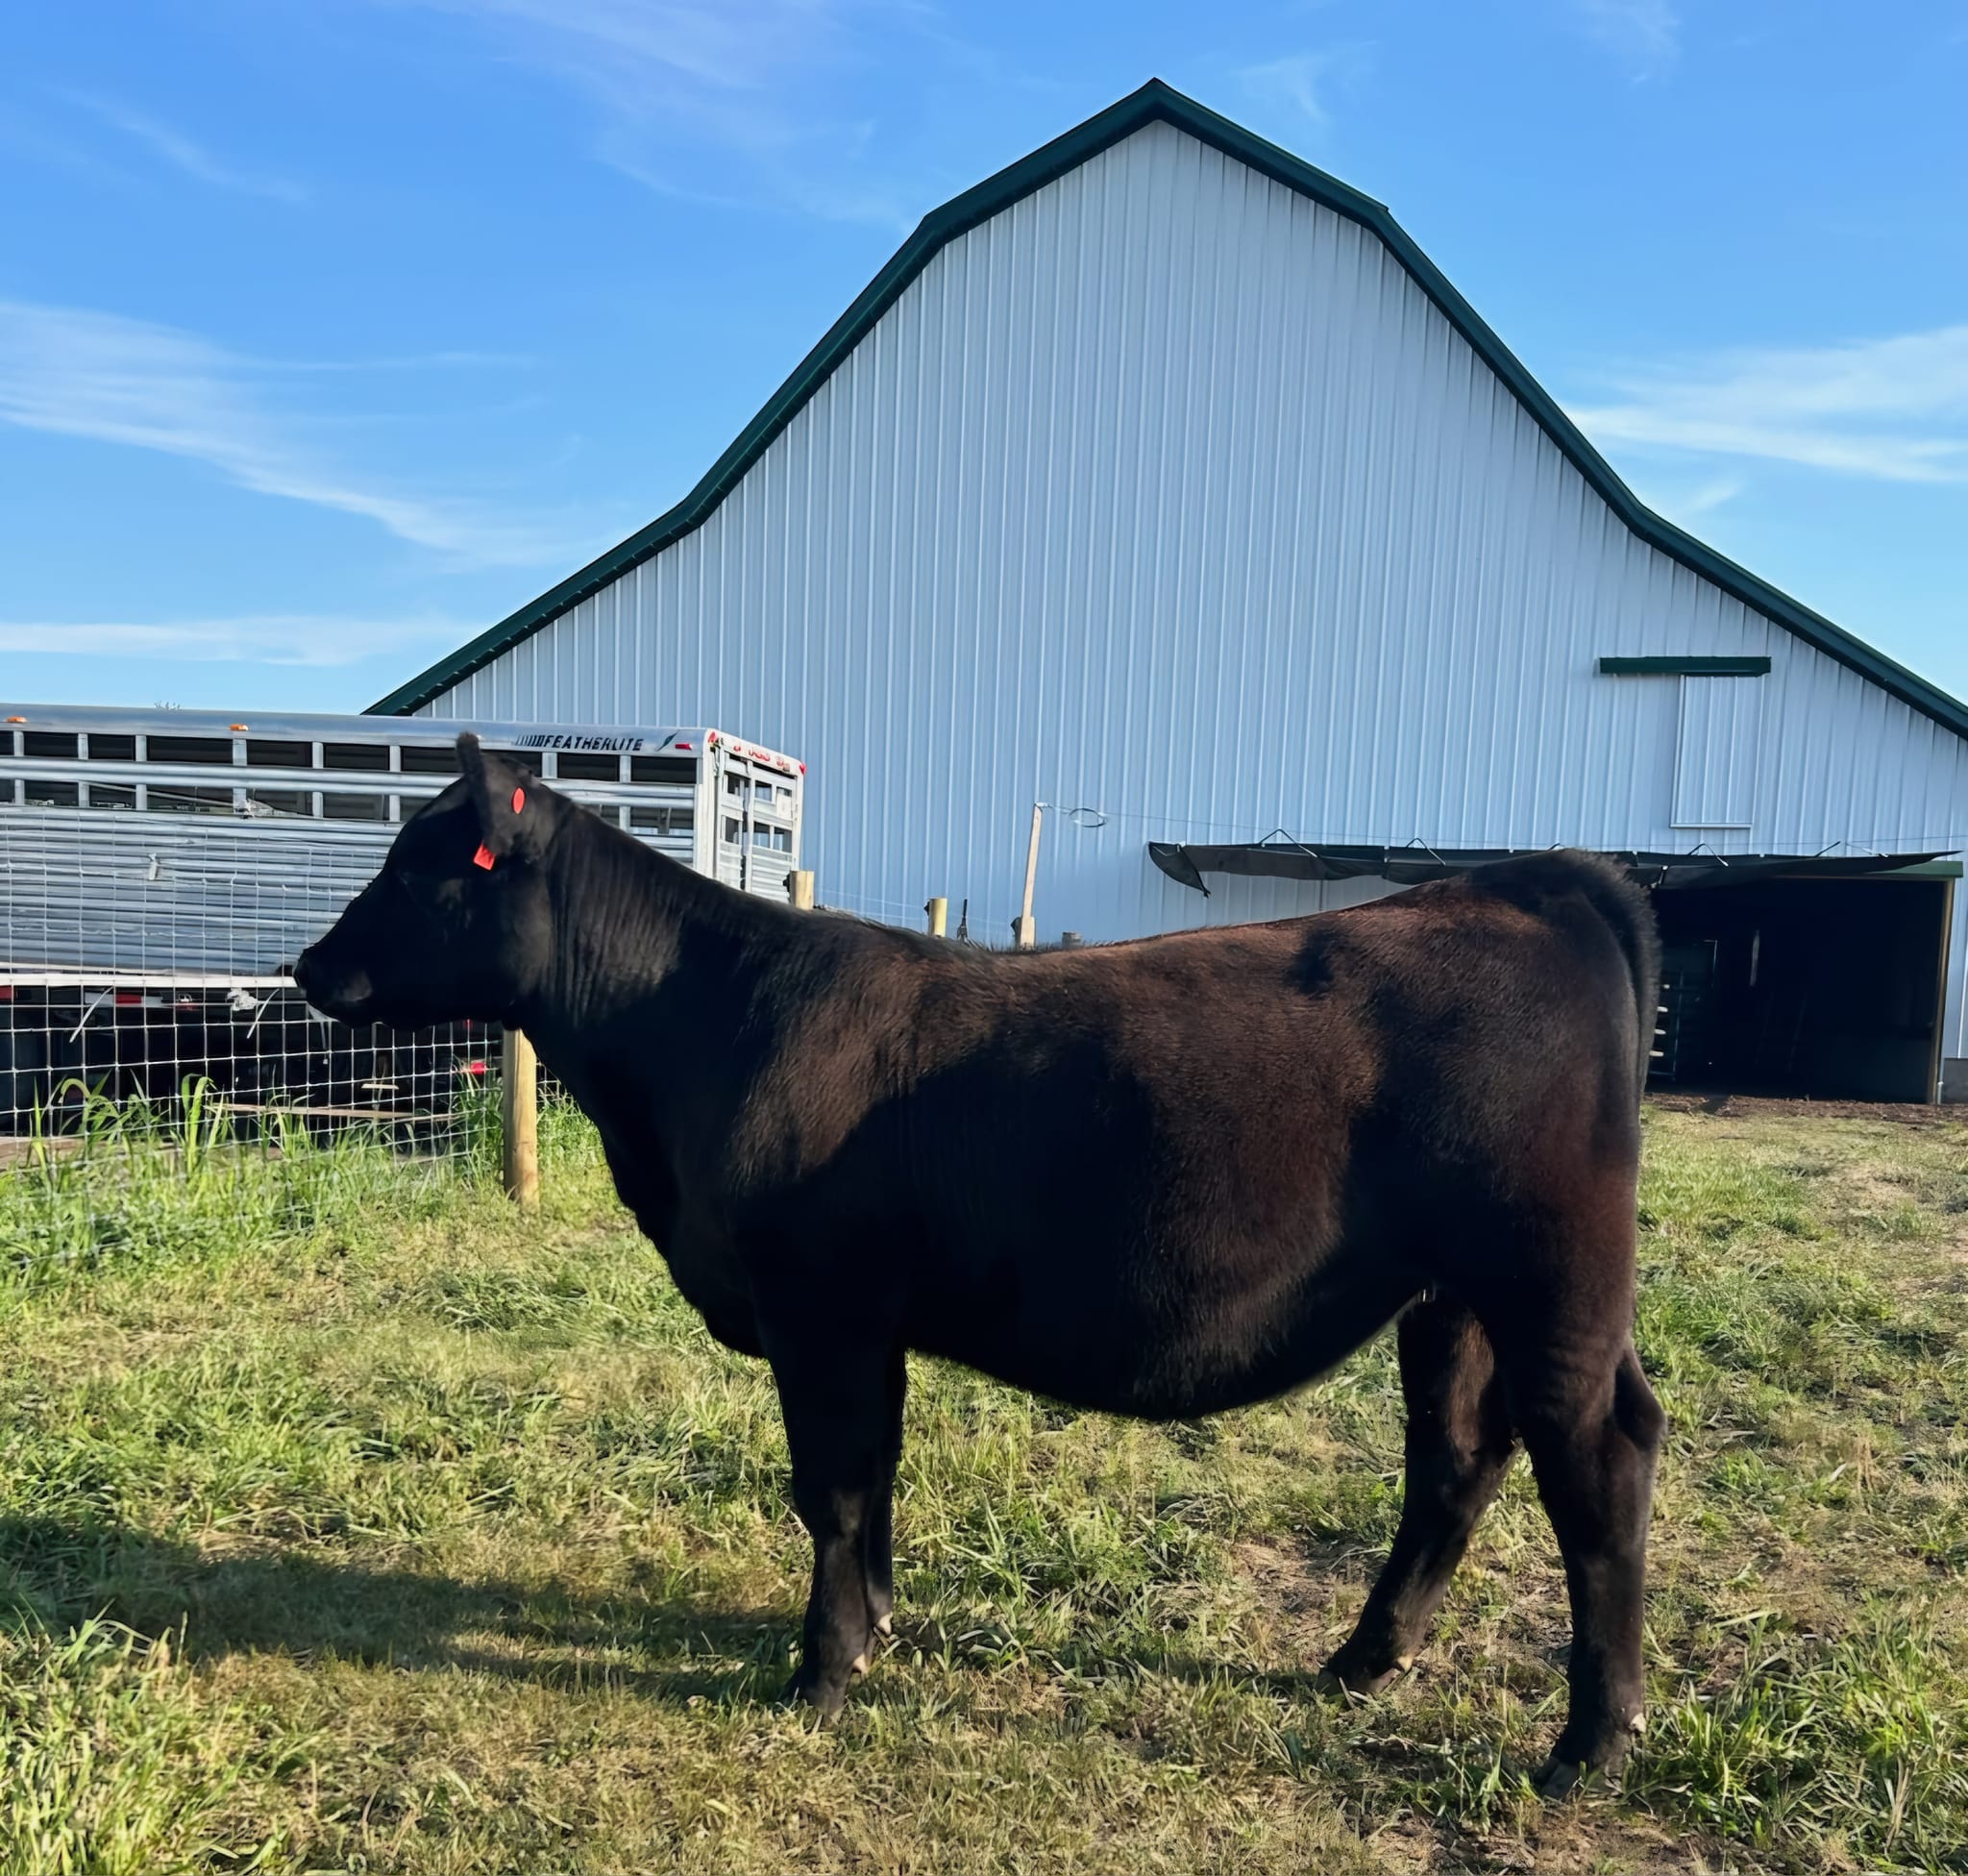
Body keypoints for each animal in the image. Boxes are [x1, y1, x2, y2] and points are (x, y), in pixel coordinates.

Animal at [294, 734, 1666, 1796]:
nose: (309, 966)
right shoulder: (866, 1321)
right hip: (1452, 1298)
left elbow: (831, 1486)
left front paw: (822, 1670)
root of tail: (1525, 882)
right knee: (1458, 1459)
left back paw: (1588, 1745)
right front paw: (877, 1627)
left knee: (1594, 1464)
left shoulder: (820, 1305)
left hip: (1548, 1276)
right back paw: (1362, 1662)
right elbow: (872, 1483)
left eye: (418, 869)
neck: (697, 1030)